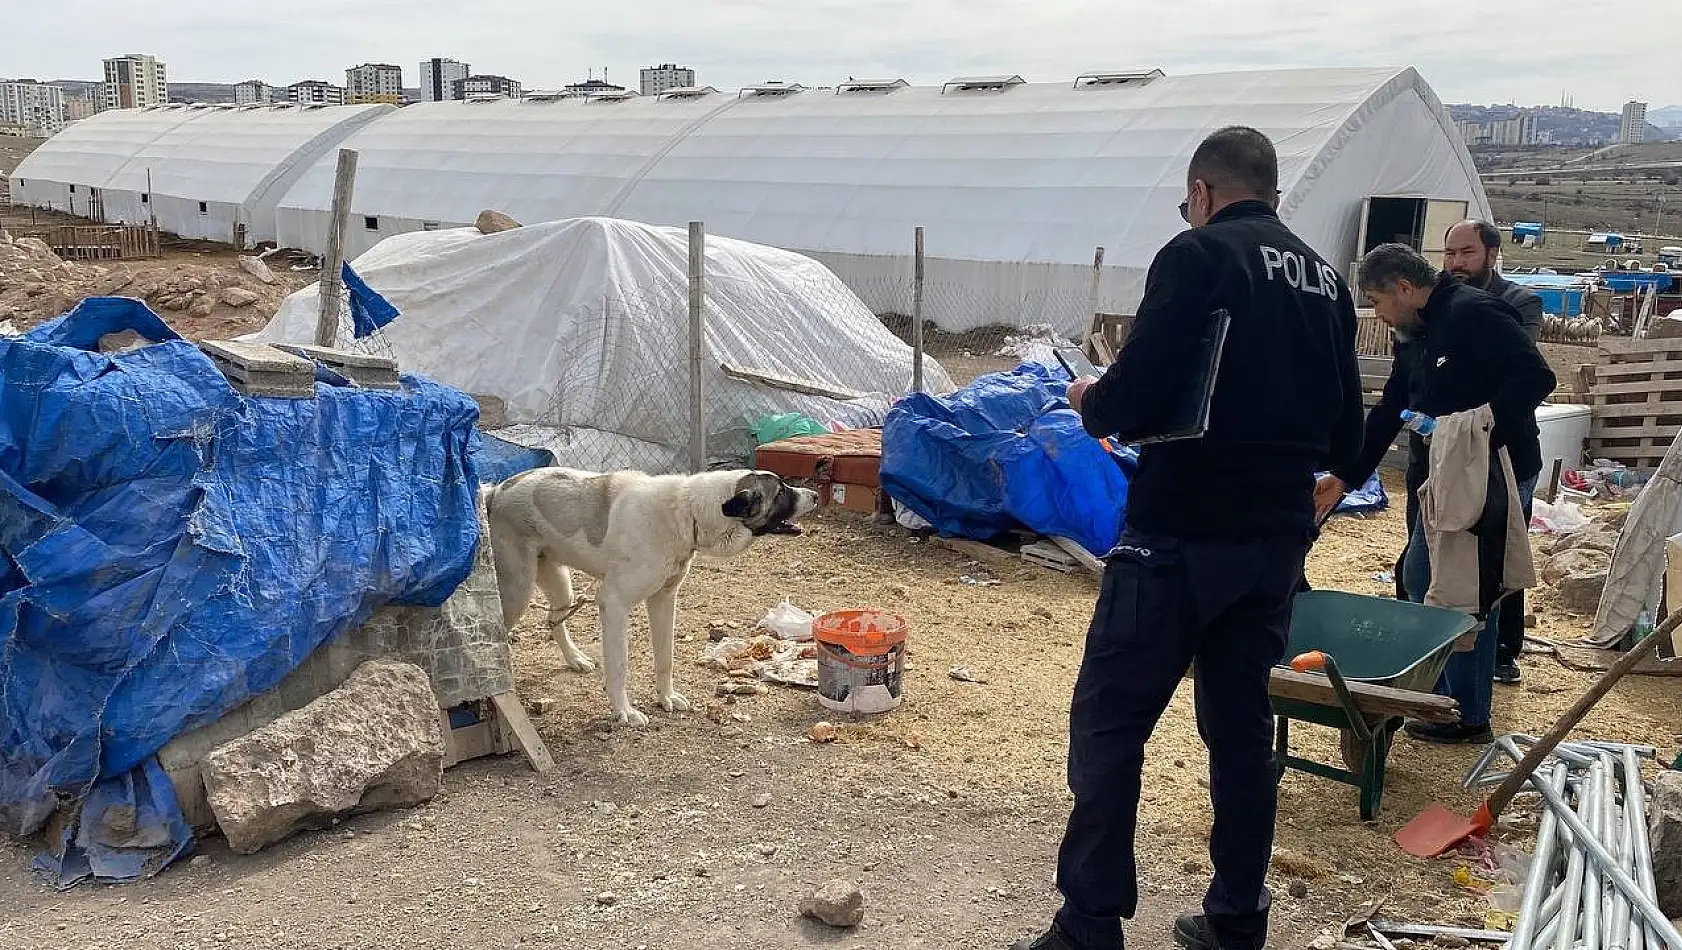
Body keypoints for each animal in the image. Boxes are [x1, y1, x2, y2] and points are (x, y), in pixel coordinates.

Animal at [484, 467, 817, 726]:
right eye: (781, 491)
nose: (814, 495)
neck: (686, 511)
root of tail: (496, 491)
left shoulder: (664, 599)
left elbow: (665, 658)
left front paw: (666, 697)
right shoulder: (614, 603)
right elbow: (619, 666)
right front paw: (624, 712)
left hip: (560, 584)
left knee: (553, 619)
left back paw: (575, 659)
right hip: (518, 590)